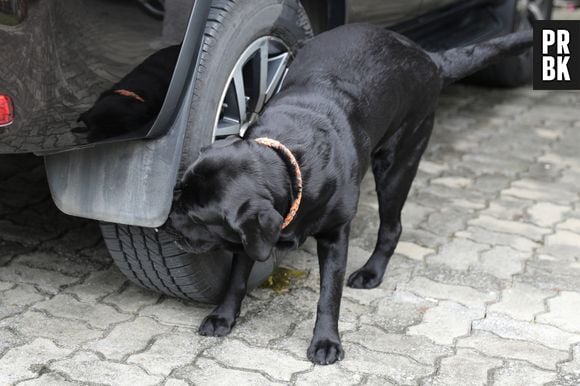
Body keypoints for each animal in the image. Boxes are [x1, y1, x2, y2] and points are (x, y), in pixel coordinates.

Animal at [165, 24, 532, 364]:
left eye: (198, 217)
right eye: (179, 189)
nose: (166, 222)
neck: (291, 165)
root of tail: (428, 58)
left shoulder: (335, 234)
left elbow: (329, 295)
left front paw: (326, 341)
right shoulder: (254, 237)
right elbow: (237, 278)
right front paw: (223, 316)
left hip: (397, 166)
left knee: (392, 227)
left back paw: (372, 272)